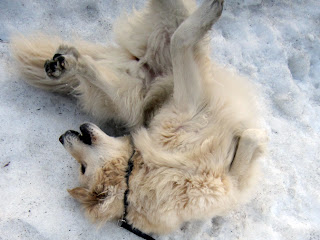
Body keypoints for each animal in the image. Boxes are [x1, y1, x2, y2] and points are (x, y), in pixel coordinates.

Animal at [10, 0, 268, 236]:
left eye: (82, 168)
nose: (62, 136)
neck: (141, 170)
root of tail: (140, 64)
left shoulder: (189, 104)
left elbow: (180, 40)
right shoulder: (232, 182)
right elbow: (250, 139)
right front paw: (259, 137)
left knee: (172, 32)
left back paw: (64, 62)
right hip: (130, 100)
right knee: (102, 70)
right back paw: (68, 63)